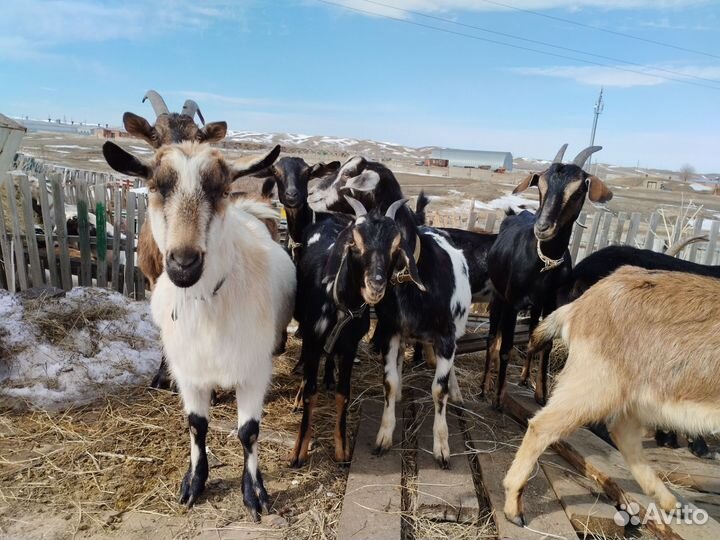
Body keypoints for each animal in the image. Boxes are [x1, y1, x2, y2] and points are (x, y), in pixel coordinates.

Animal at [102, 140, 294, 517]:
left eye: (220, 189)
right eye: (156, 187)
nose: (184, 263)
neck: (207, 303)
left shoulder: (253, 370)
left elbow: (249, 432)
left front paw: (255, 493)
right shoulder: (187, 370)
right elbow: (196, 425)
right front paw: (193, 482)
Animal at [307, 157, 472, 466]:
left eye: (348, 173)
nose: (310, 192)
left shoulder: (445, 337)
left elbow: (438, 390)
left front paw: (442, 447)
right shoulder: (391, 329)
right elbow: (390, 382)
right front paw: (384, 436)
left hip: (457, 328)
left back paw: (457, 392)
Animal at [481, 144, 612, 408]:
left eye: (578, 189)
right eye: (540, 185)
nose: (542, 227)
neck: (544, 262)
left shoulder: (551, 304)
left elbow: (546, 344)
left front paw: (541, 394)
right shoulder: (512, 302)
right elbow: (506, 346)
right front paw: (498, 398)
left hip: (536, 306)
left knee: (533, 334)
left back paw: (523, 379)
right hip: (498, 296)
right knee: (492, 338)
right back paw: (484, 387)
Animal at [503, 266, 720, 527]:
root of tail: (580, 306)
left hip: (632, 397)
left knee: (623, 434)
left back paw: (671, 503)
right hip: (596, 384)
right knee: (542, 426)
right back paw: (514, 509)